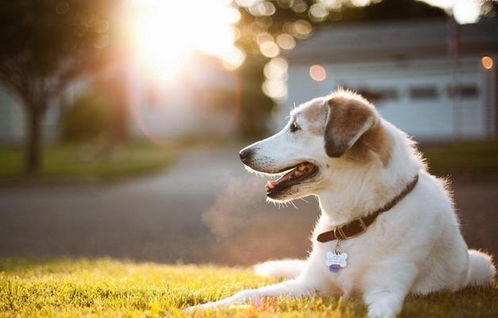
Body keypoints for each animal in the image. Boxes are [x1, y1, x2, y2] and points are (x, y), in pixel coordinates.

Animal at [189, 89, 496, 318]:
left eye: (295, 127)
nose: (242, 153)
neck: (357, 221)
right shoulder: (309, 285)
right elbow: (248, 293)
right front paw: (202, 307)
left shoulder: (386, 291)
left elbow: (381, 311)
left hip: (483, 264)